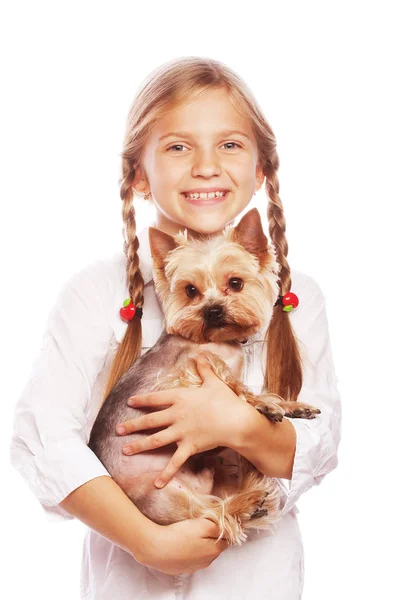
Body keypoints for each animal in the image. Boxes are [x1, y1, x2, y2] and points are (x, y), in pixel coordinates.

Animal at [87, 209, 318, 548]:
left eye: (235, 283)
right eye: (190, 291)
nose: (213, 311)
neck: (220, 341)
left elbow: (262, 392)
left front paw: (291, 406)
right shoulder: (183, 371)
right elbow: (233, 383)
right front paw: (262, 405)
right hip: (164, 494)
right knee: (213, 514)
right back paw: (247, 504)